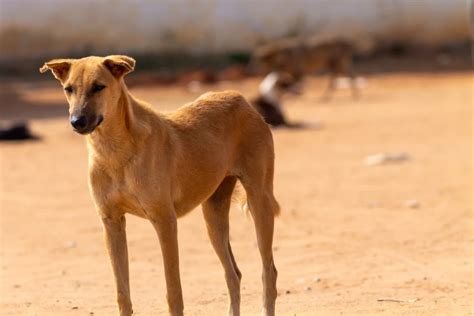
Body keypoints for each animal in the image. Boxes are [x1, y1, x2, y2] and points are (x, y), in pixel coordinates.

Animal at [40, 55, 280, 314]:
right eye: (68, 89)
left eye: (98, 87)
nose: (77, 122)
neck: (115, 151)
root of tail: (240, 98)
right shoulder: (112, 222)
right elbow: (122, 294)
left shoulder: (165, 221)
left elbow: (173, 292)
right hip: (213, 215)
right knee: (233, 274)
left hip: (259, 203)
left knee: (269, 273)